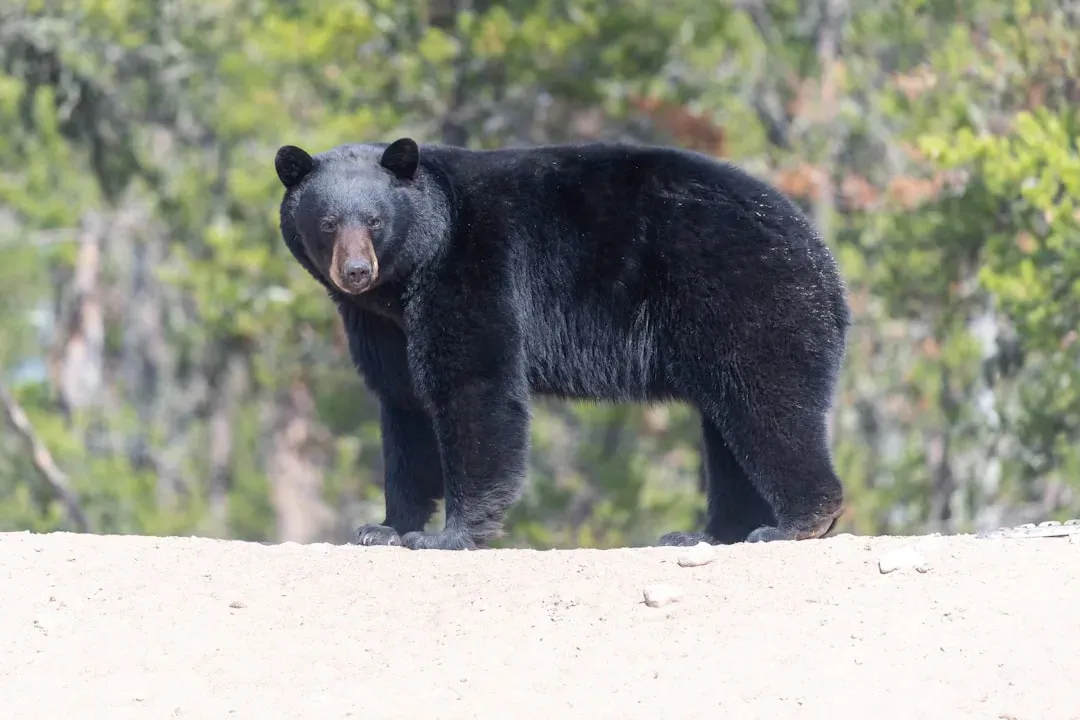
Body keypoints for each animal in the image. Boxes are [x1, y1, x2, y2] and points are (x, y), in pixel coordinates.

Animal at [273, 137, 851, 550]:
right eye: (327, 222)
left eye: (375, 221)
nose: (355, 271)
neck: (409, 275)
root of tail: (823, 260)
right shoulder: (380, 325)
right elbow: (403, 405)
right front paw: (384, 526)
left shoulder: (475, 268)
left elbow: (473, 384)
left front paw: (446, 536)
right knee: (728, 430)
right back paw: (706, 534)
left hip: (744, 297)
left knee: (767, 404)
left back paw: (794, 523)